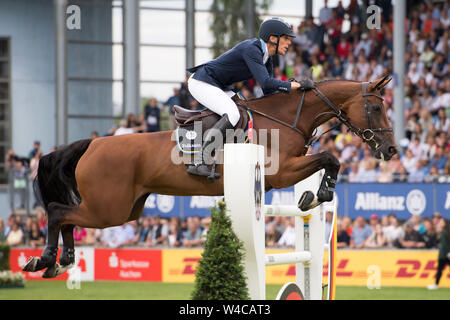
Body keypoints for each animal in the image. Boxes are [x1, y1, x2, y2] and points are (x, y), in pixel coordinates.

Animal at [23, 75, 398, 278]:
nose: (392, 150)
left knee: (67, 217)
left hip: (125, 209)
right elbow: (330, 157)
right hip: (109, 209)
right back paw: (46, 259)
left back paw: (61, 261)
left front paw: (313, 195)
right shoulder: (281, 173)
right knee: (58, 211)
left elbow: (329, 160)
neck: (287, 118)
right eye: (376, 107)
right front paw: (318, 195)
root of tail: (93, 143)